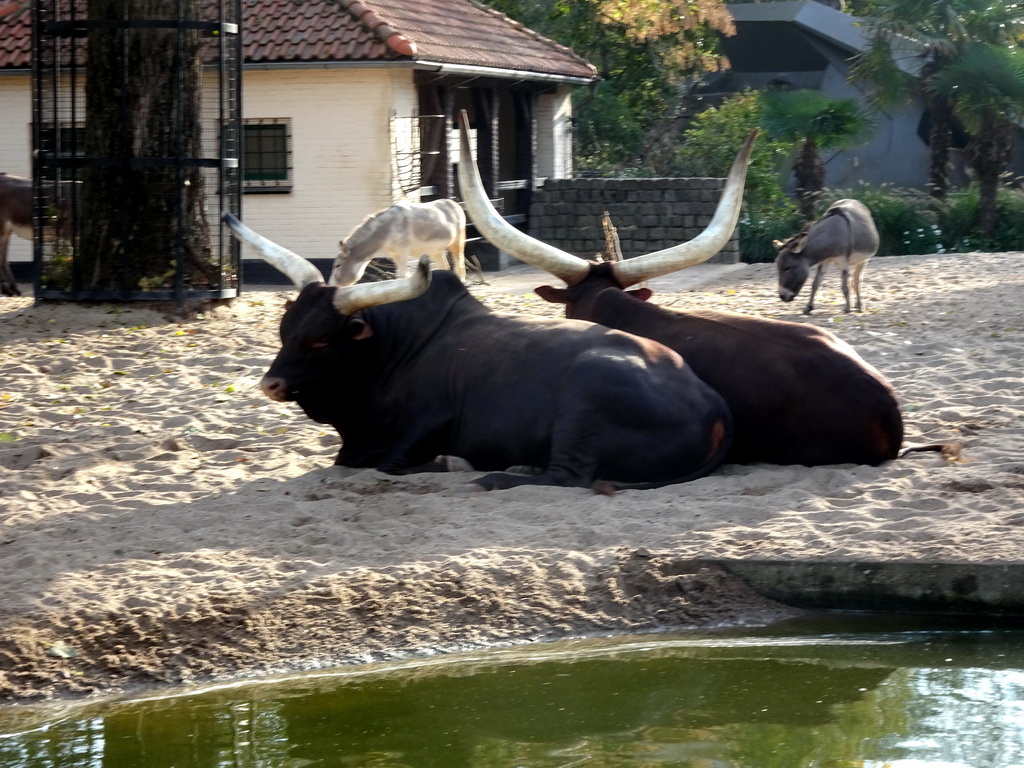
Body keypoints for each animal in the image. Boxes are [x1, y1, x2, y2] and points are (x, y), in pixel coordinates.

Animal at [226, 214, 737, 493]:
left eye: (320, 338)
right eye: (285, 330)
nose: (270, 383)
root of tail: (713, 402)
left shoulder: (428, 420)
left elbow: (388, 464)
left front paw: (452, 463)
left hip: (585, 397)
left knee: (568, 477)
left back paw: (494, 476)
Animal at [327, 199, 468, 286]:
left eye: (338, 265)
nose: (330, 286)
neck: (388, 228)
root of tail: (454, 202)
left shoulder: (403, 252)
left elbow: (403, 276)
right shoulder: (394, 255)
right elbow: (398, 277)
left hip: (457, 242)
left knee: (459, 265)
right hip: (436, 251)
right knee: (445, 267)